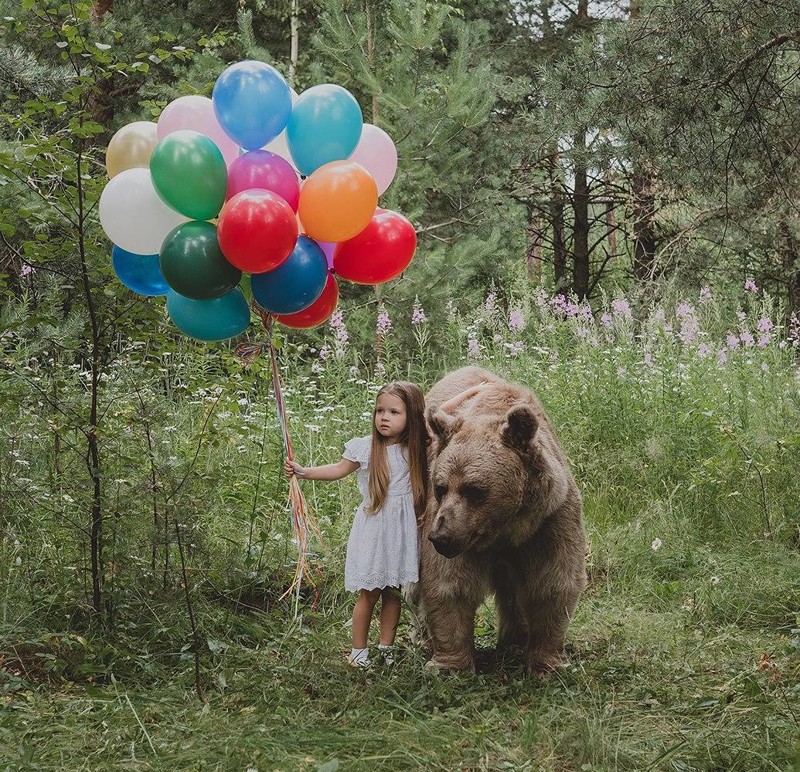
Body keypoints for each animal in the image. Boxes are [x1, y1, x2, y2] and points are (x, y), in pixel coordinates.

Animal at [413, 365, 587, 673]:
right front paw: (450, 664)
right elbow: (448, 584)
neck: (506, 527)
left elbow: (553, 582)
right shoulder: (452, 527)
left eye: (474, 489)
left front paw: (547, 663)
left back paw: (515, 638)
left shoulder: (551, 518)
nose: (441, 538)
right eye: (441, 487)